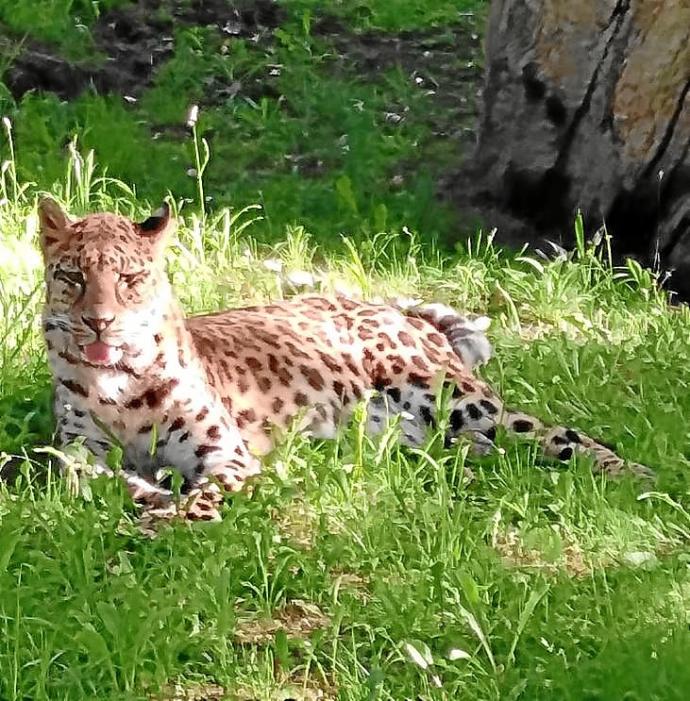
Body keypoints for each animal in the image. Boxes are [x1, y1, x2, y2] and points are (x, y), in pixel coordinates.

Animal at [37, 197, 652, 520]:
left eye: (129, 279)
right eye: (73, 276)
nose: (99, 321)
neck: (120, 382)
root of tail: (392, 307)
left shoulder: (227, 456)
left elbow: (202, 495)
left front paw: (169, 518)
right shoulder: (79, 451)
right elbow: (87, 476)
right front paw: (144, 494)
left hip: (457, 400)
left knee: (557, 433)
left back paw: (636, 478)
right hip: (432, 435)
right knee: (484, 451)